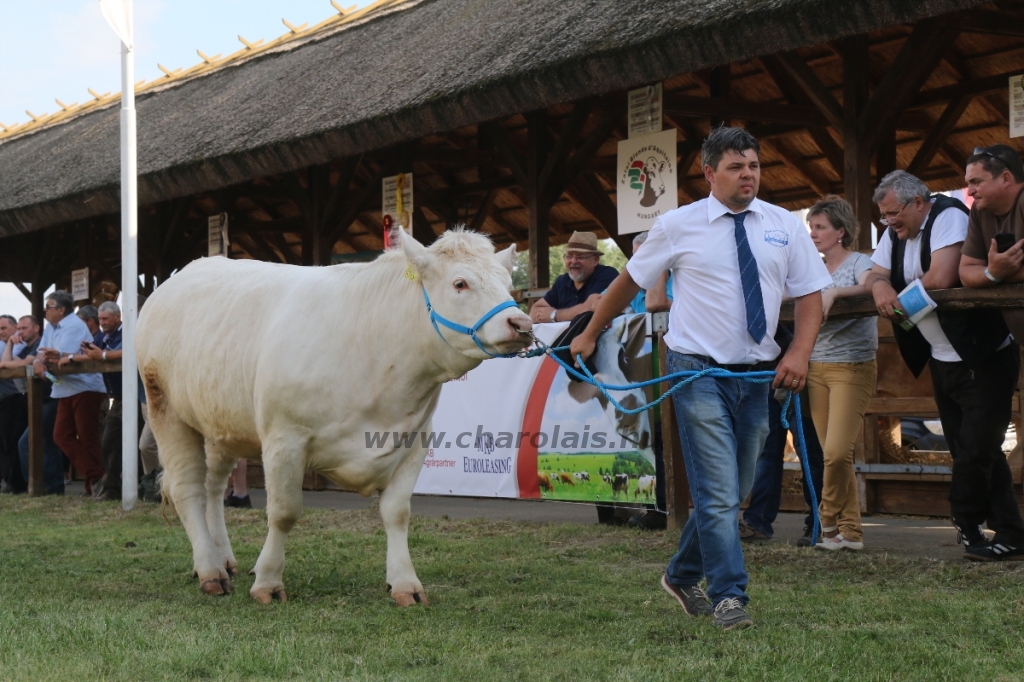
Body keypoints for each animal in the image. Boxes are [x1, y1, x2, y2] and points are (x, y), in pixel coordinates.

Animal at [136, 231, 532, 602]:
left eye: (506, 282)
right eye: (460, 283)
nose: (522, 323)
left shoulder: (414, 442)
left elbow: (397, 512)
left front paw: (405, 582)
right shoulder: (284, 439)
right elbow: (284, 512)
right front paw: (268, 581)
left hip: (220, 424)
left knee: (213, 487)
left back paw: (223, 558)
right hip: (166, 409)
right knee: (187, 489)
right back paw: (210, 570)